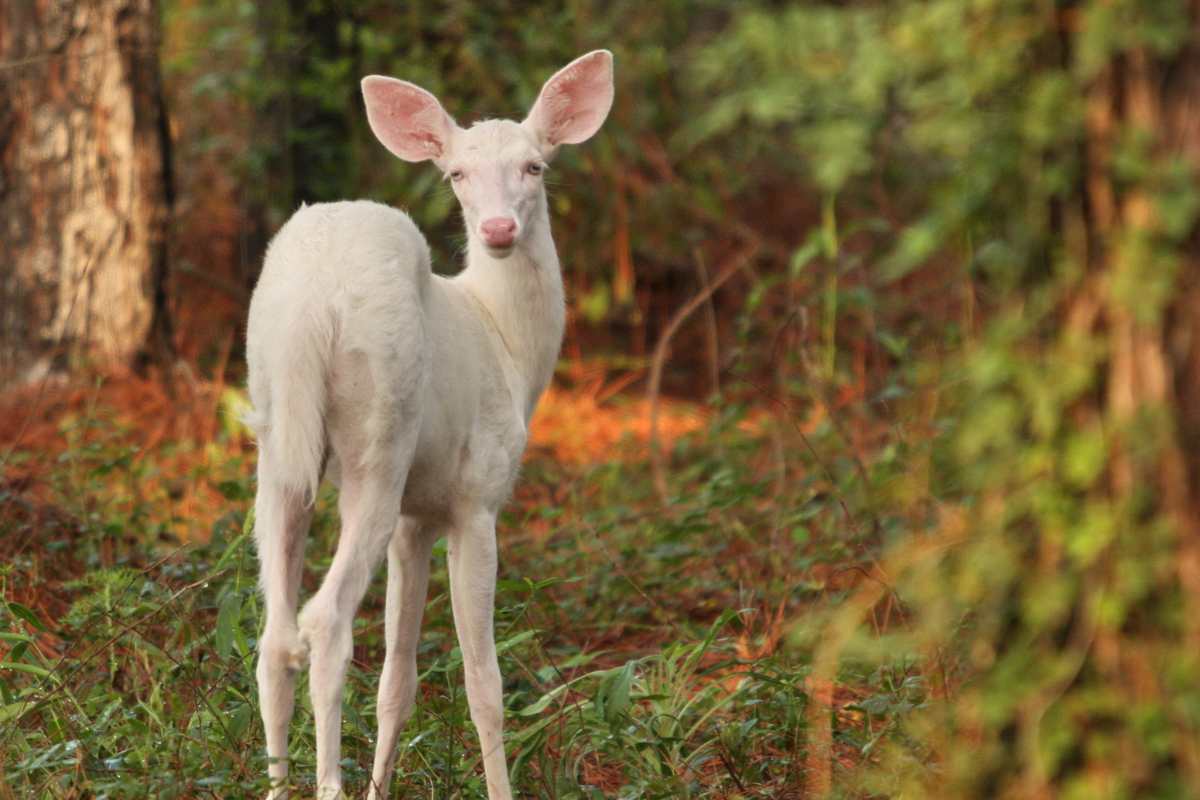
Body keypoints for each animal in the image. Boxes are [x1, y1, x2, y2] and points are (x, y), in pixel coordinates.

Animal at [246, 51, 619, 800]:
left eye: (535, 165)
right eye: (457, 174)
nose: (499, 231)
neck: (506, 342)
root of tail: (314, 303)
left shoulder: (416, 518)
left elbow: (399, 680)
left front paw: (381, 787)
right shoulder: (476, 499)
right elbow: (484, 684)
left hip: (276, 442)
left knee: (274, 637)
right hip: (379, 439)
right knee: (325, 621)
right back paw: (327, 785)